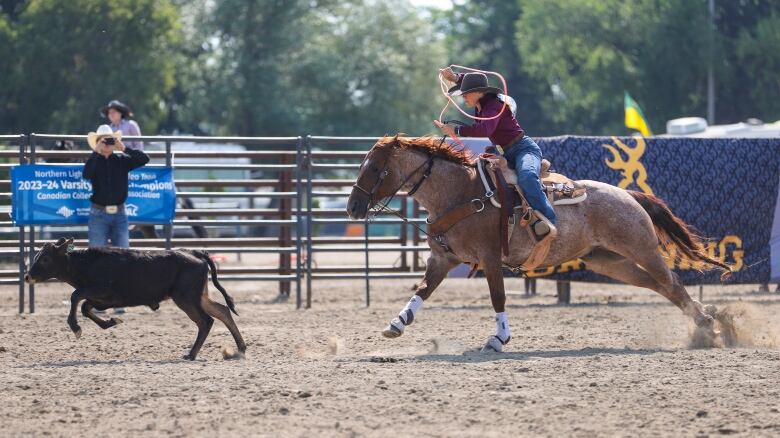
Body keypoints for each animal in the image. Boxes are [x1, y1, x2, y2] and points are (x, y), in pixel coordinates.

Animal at [348, 136, 732, 352]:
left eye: (375, 169)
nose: (352, 207)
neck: (460, 193)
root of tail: (629, 195)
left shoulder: (490, 259)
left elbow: (498, 297)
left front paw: (499, 339)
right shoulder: (443, 258)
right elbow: (423, 290)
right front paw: (397, 323)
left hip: (641, 248)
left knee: (673, 283)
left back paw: (708, 323)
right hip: (609, 261)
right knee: (660, 286)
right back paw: (708, 322)